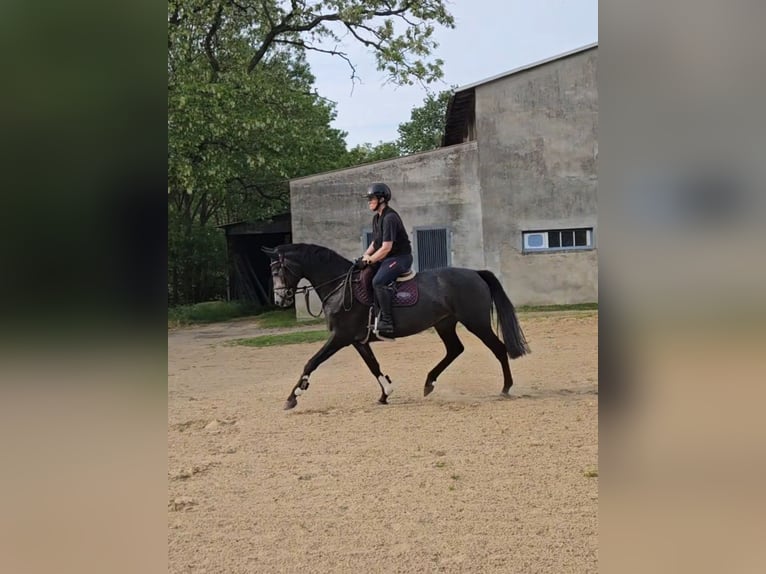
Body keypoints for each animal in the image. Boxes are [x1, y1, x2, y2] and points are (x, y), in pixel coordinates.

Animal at [260, 242, 532, 410]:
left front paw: (293, 397)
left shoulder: (340, 337)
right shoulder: (357, 340)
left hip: (476, 322)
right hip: (445, 324)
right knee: (455, 350)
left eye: (279, 270)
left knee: (498, 349)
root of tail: (475, 273)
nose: (280, 300)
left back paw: (506, 387)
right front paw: (385, 393)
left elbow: (311, 362)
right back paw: (429, 383)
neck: (340, 286)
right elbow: (373, 366)